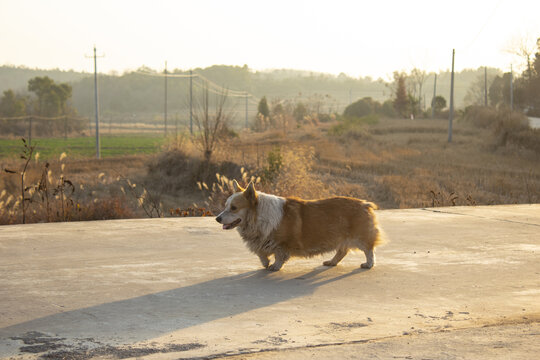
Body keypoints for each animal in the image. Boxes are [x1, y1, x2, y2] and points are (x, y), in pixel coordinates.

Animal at [215, 181, 384, 272]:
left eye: (234, 208)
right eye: (225, 206)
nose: (217, 218)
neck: (258, 216)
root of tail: (364, 203)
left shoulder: (281, 244)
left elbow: (278, 255)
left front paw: (274, 266)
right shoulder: (261, 241)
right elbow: (262, 254)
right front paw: (265, 263)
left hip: (360, 237)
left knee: (369, 250)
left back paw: (368, 264)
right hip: (340, 237)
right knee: (342, 251)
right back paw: (332, 262)